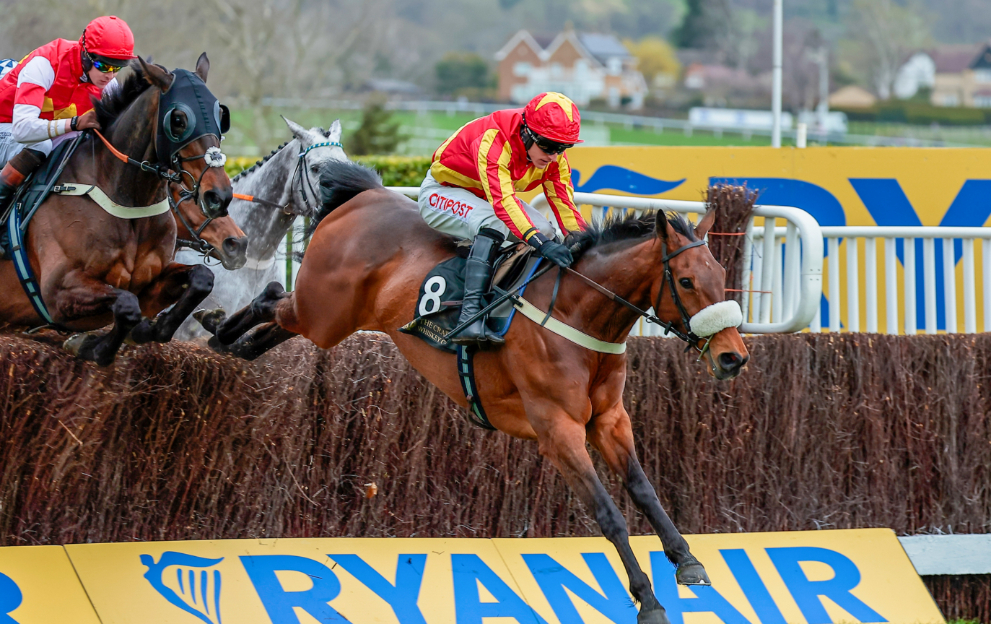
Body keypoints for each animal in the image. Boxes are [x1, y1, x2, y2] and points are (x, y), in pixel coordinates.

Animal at [0, 54, 232, 366]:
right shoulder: (57, 291)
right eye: (178, 119)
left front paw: (152, 329)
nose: (219, 196)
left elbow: (202, 279)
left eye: (221, 115)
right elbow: (126, 304)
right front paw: (91, 346)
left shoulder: (151, 284)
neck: (125, 200)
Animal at [198, 161, 748, 624]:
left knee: (274, 320)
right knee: (272, 297)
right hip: (322, 309)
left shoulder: (610, 419)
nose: (733, 357)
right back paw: (214, 330)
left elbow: (643, 489)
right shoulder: (558, 429)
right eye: (685, 281)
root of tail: (368, 193)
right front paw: (648, 599)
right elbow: (608, 514)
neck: (576, 314)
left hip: (329, 321)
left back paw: (231, 344)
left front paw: (687, 560)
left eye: (722, 276)